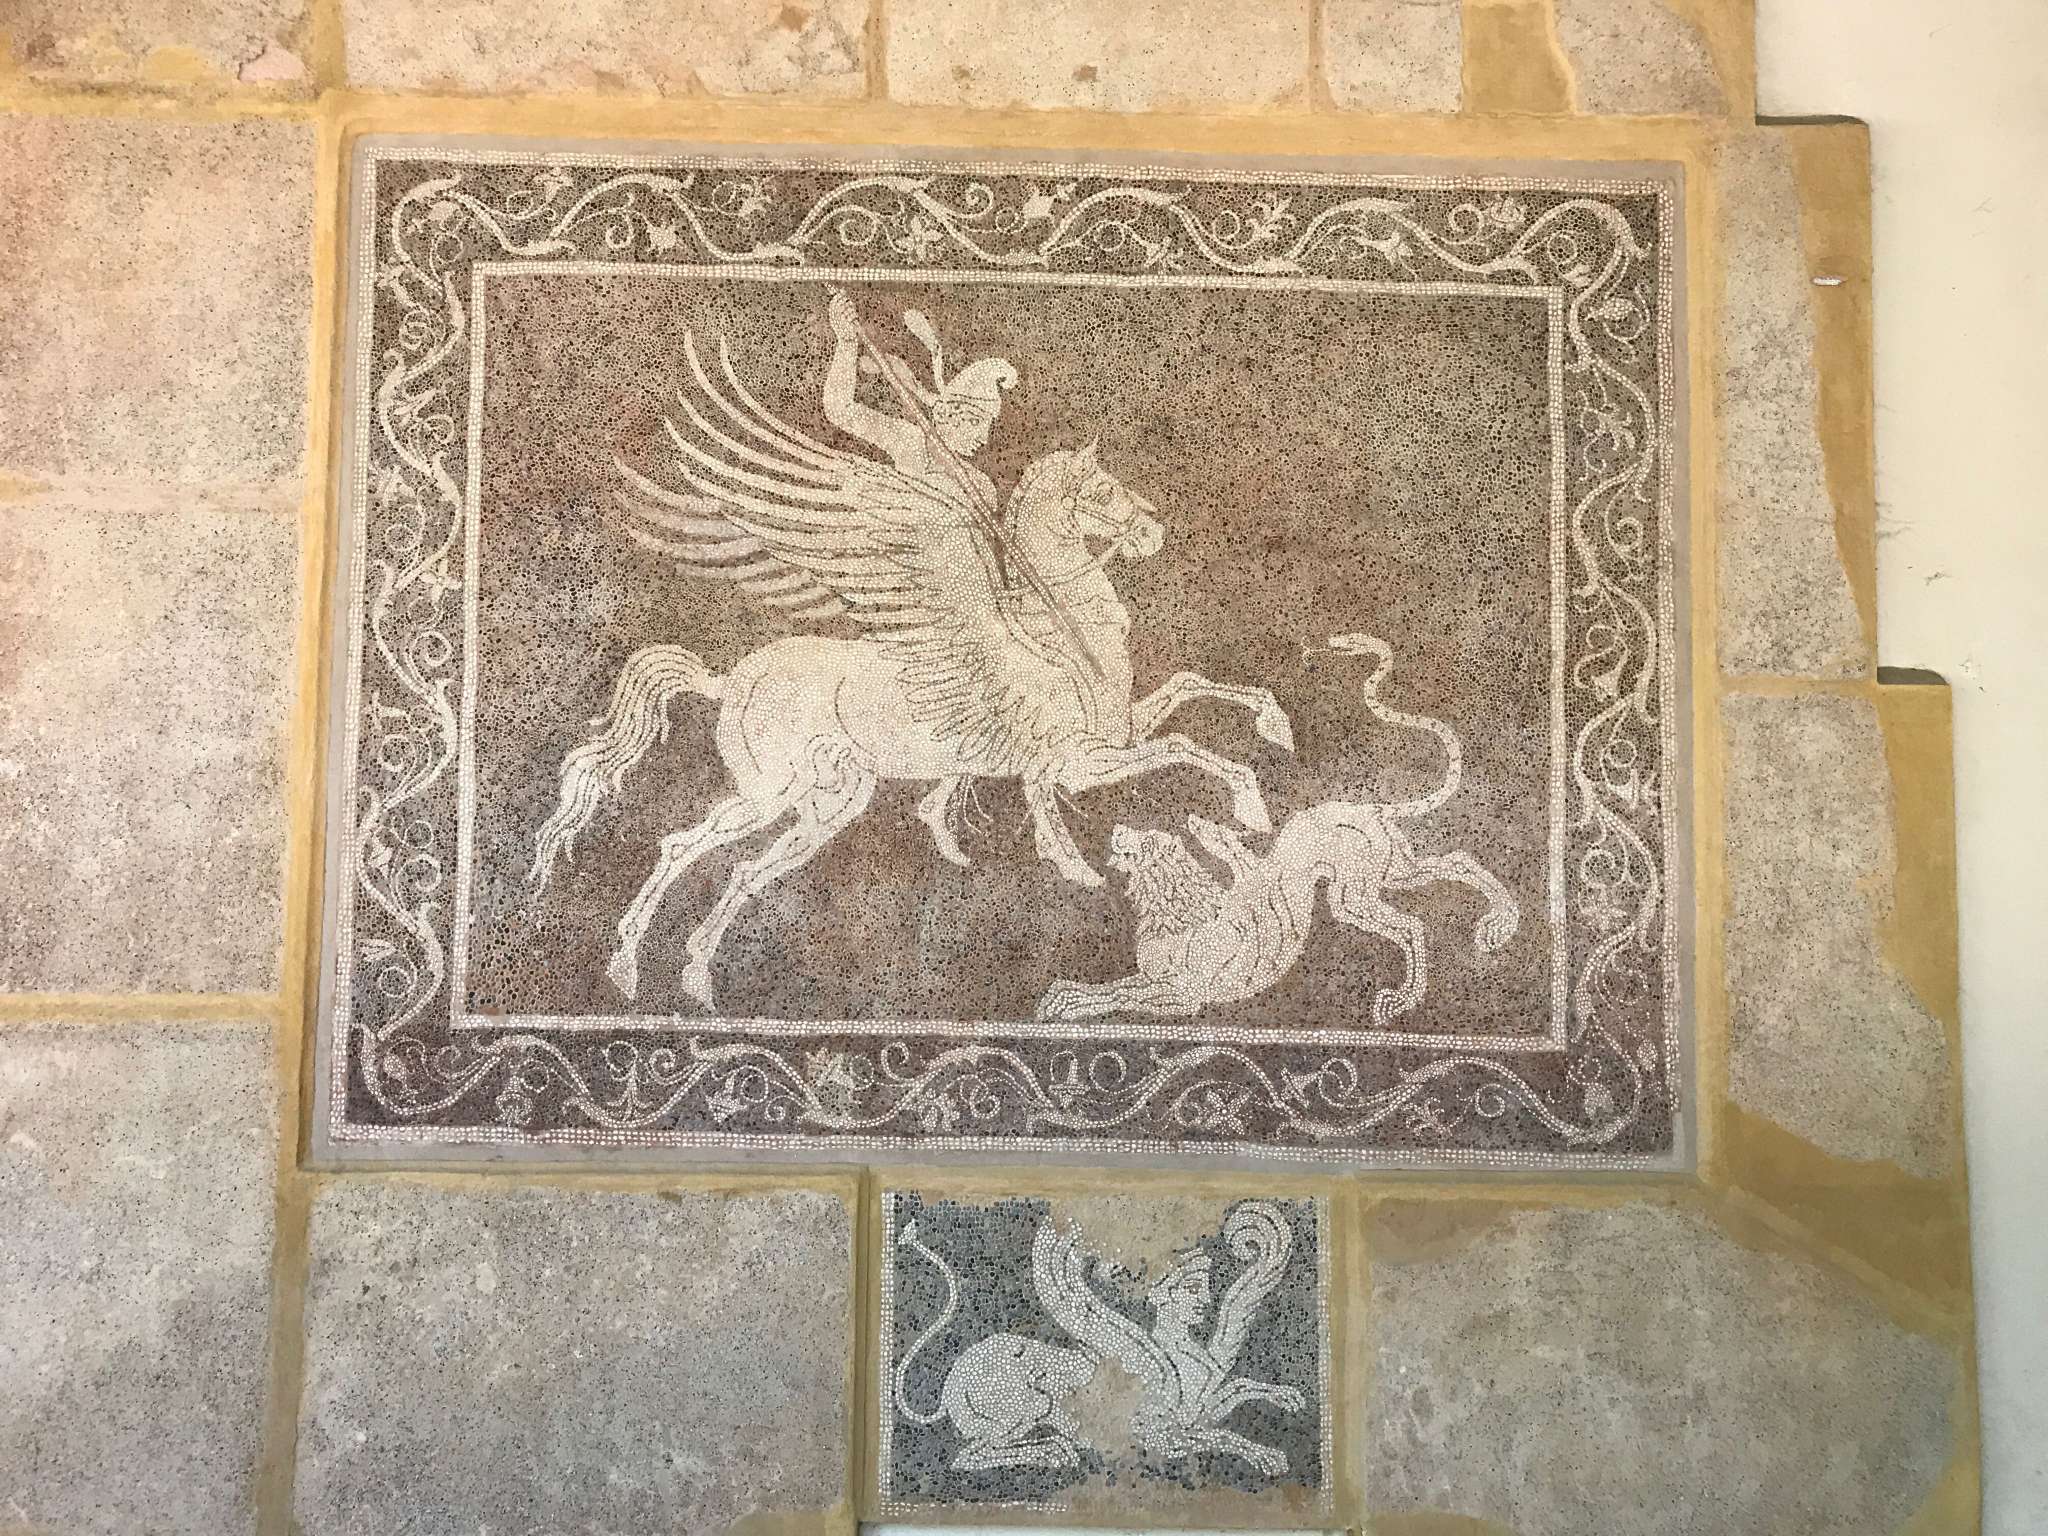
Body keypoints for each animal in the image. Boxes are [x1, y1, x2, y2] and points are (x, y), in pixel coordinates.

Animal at [1037, 634, 1521, 1027]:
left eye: (1145, 844)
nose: (1116, 832)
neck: (1180, 915)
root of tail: (1370, 806)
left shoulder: (1184, 996)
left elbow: (1118, 996)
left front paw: (1072, 1004)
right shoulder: (1153, 978)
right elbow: (1112, 987)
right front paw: (1063, 997)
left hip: (1354, 892)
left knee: (1412, 925)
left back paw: (1402, 998)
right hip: (1388, 869)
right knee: (1457, 861)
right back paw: (1497, 924)